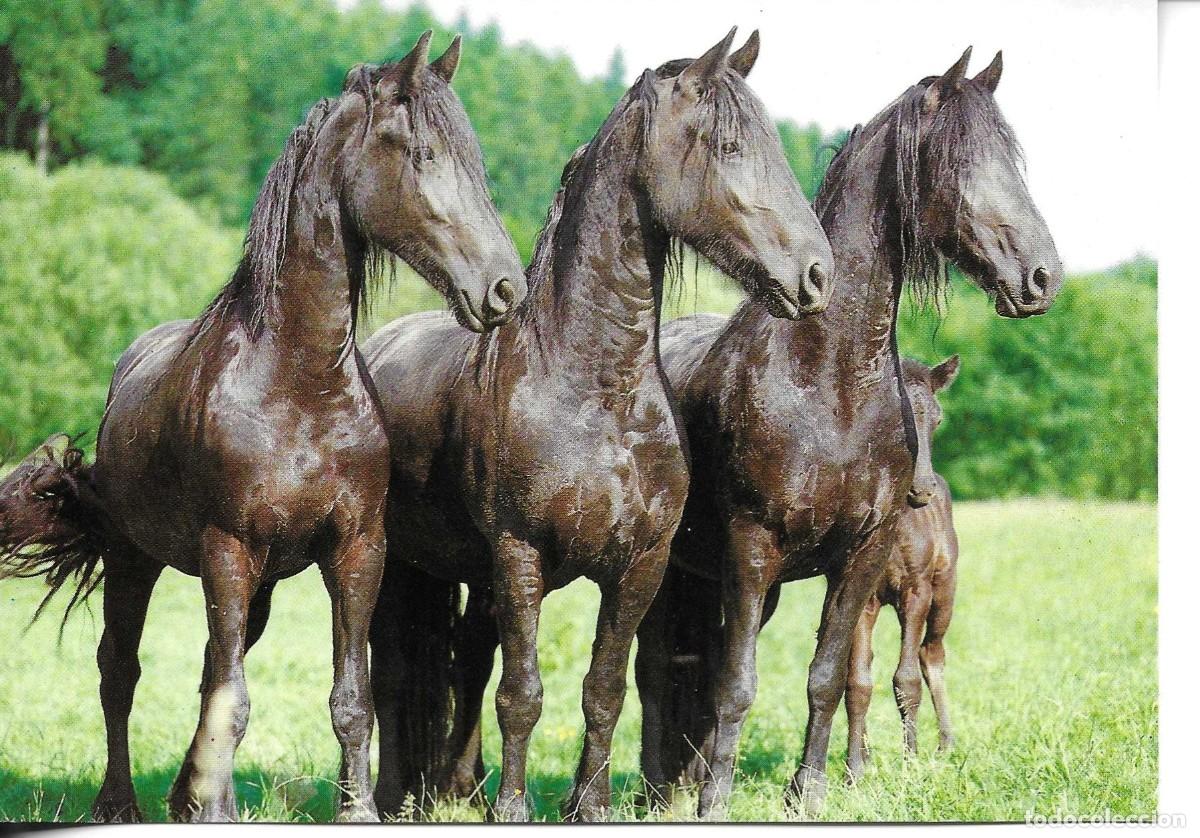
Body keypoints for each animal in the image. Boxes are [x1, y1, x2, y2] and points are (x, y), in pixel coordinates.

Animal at [0, 32, 525, 823]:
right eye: (422, 153)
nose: (503, 288)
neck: (299, 384)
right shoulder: (227, 550)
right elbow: (230, 698)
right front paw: (211, 809)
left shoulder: (356, 551)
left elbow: (347, 698)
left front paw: (354, 810)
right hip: (135, 558)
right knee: (120, 671)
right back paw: (119, 803)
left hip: (262, 585)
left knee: (208, 670)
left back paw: (185, 794)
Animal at [362, 29, 835, 822]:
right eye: (730, 145)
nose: (817, 274)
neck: (592, 390)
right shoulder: (519, 555)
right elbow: (522, 695)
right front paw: (514, 810)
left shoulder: (638, 566)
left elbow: (604, 690)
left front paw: (590, 804)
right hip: (400, 563)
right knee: (396, 673)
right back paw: (400, 796)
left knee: (464, 661)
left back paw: (458, 785)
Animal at [845, 355, 961, 780]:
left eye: (938, 419)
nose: (921, 490)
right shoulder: (861, 598)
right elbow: (857, 682)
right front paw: (854, 769)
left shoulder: (917, 590)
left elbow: (906, 678)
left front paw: (910, 762)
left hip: (945, 591)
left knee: (932, 653)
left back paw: (945, 744)